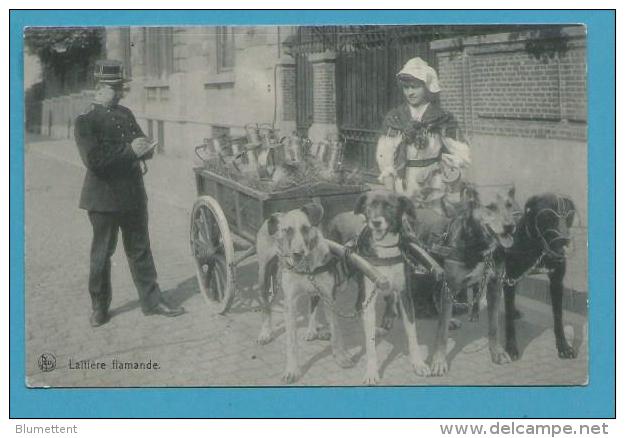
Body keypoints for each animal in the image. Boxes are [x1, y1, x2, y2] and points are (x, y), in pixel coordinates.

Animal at [252, 203, 352, 384]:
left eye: (305, 228)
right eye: (287, 230)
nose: (297, 253)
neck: (306, 266)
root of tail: (275, 214)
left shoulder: (329, 297)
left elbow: (336, 331)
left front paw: (341, 357)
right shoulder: (290, 303)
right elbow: (291, 342)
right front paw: (292, 370)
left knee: (312, 305)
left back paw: (312, 330)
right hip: (263, 274)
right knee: (266, 306)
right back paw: (265, 332)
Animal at [326, 191, 428, 384]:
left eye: (389, 206)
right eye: (369, 206)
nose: (375, 222)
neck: (385, 249)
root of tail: (337, 215)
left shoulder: (405, 296)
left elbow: (412, 333)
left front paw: (418, 363)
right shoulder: (369, 299)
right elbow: (370, 343)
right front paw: (372, 372)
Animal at [502, 193, 576, 362]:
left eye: (569, 215)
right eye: (548, 215)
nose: (565, 240)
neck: (538, 247)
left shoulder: (556, 283)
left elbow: (558, 317)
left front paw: (563, 347)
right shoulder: (509, 278)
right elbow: (508, 321)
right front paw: (511, 348)